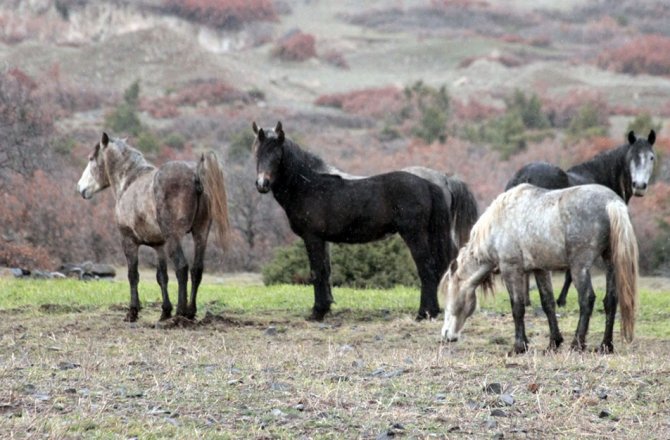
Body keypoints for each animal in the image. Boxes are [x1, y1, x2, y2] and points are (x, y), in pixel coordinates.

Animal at [77, 132, 231, 322]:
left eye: (91, 158)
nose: (80, 187)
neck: (129, 181)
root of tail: (195, 174)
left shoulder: (128, 241)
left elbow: (133, 275)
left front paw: (133, 312)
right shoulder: (159, 246)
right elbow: (162, 277)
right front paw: (165, 311)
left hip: (175, 238)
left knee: (182, 268)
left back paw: (180, 312)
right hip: (201, 234)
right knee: (196, 270)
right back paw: (190, 312)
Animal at [255, 122, 460, 322]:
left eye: (277, 155)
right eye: (257, 152)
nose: (262, 184)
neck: (308, 186)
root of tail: (428, 184)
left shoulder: (312, 238)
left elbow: (317, 272)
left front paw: (317, 313)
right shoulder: (323, 240)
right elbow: (326, 271)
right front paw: (326, 307)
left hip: (414, 235)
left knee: (427, 268)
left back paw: (423, 313)